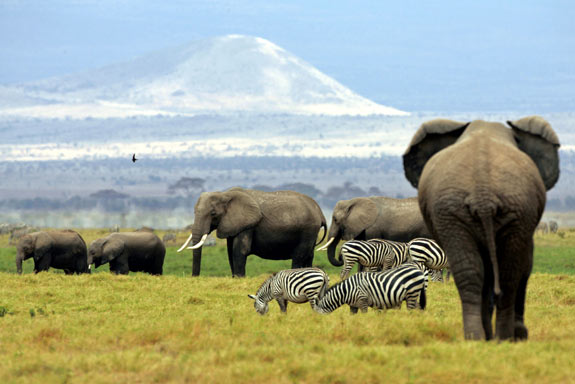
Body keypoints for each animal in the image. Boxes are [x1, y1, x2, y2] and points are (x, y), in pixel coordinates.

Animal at [178, 188, 326, 278]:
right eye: (194, 211)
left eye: (213, 214)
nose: (194, 278)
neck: (225, 194)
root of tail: (320, 212)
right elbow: (230, 252)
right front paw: (235, 278)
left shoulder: (248, 225)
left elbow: (239, 251)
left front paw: (239, 278)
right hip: (311, 232)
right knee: (309, 255)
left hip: (307, 230)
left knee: (298, 256)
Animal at [402, 115, 560, 340]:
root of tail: (482, 190)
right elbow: (525, 264)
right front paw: (520, 334)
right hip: (502, 209)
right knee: (507, 272)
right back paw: (502, 338)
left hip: (455, 212)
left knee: (472, 272)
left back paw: (479, 337)